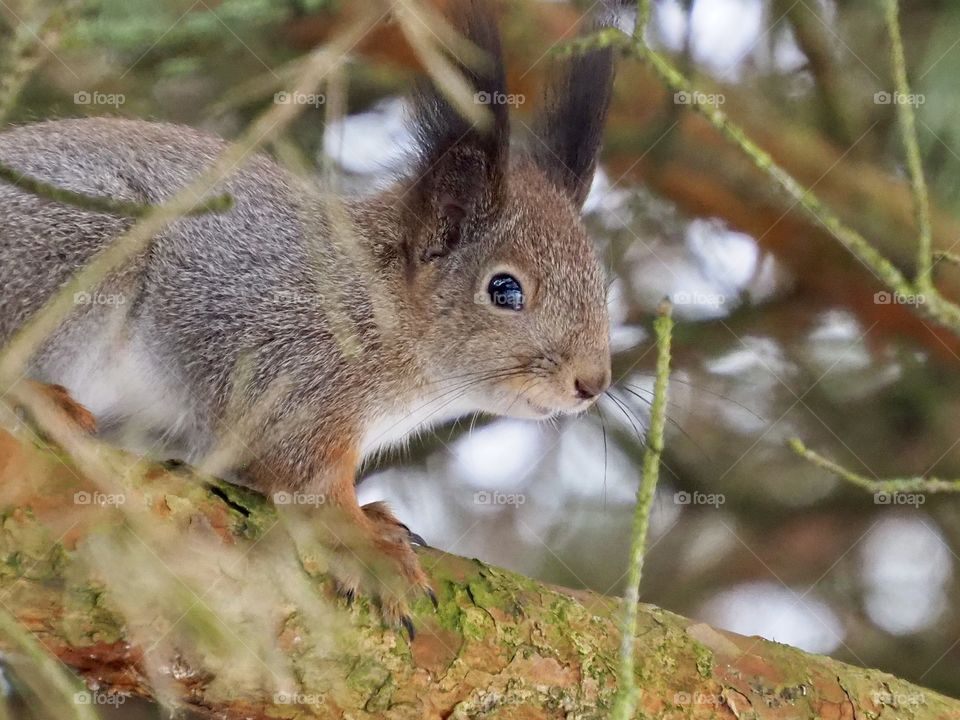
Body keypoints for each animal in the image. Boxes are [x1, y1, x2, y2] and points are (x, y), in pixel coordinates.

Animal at [0, 0, 615, 632]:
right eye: (505, 290)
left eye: (601, 283)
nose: (592, 383)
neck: (380, 305)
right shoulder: (291, 364)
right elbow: (302, 474)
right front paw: (363, 540)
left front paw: (377, 517)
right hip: (82, 244)